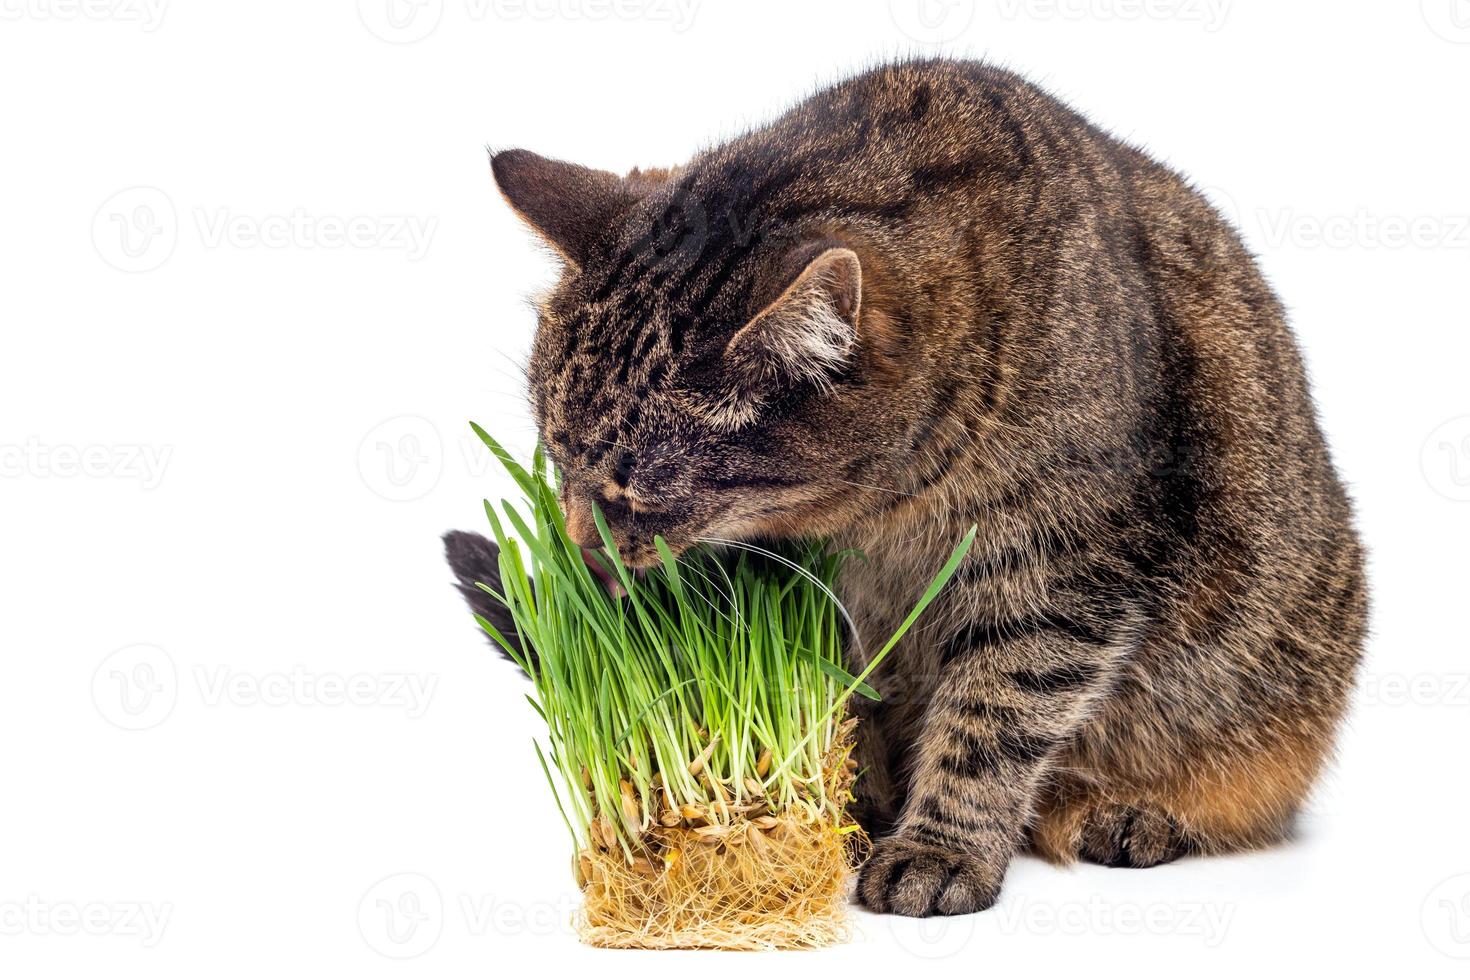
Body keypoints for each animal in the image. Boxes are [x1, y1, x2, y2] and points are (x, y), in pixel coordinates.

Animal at [443, 59, 1364, 922]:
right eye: (556, 459)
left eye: (632, 496)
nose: (581, 545)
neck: (891, 504)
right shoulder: (808, 589)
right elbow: (831, 702)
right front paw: (847, 812)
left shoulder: (1065, 570)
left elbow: (993, 717)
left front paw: (941, 850)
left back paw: (1133, 813)